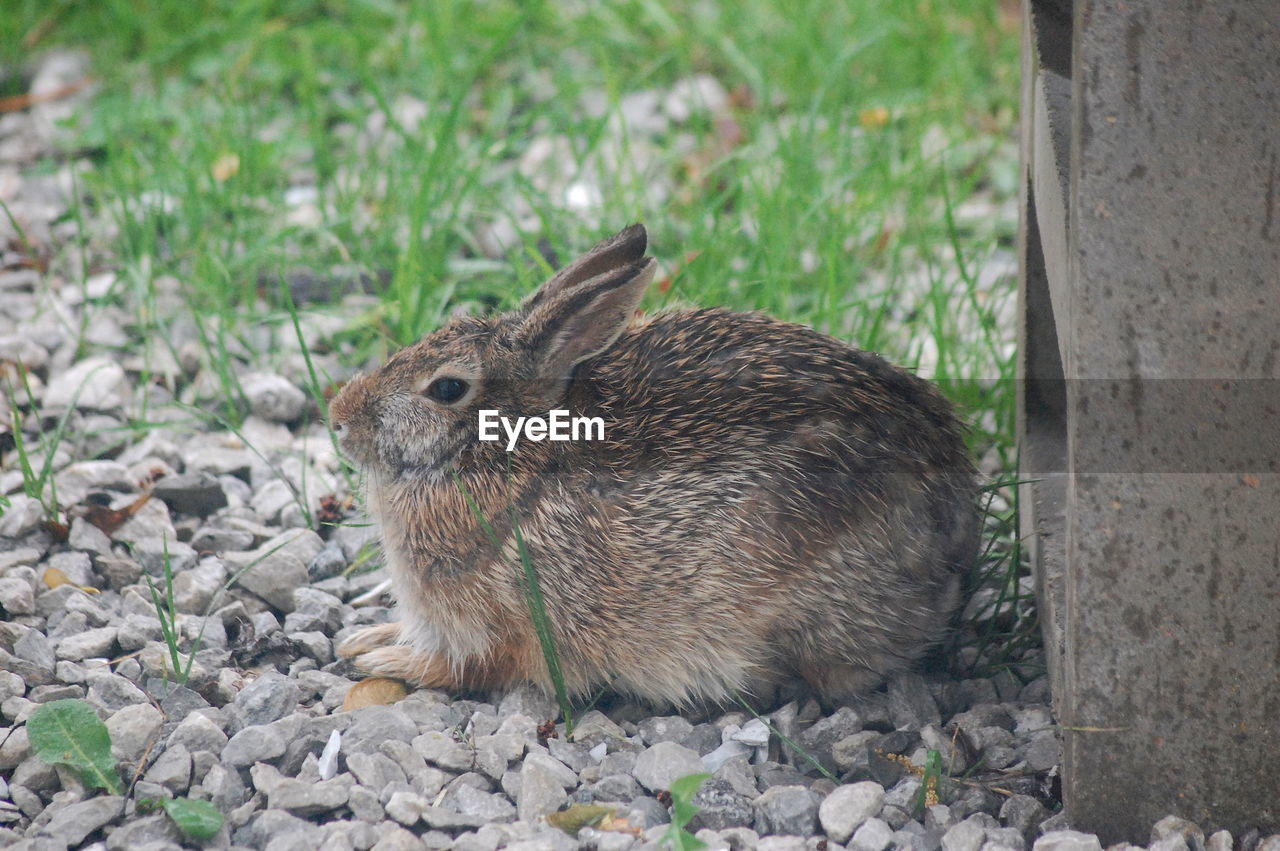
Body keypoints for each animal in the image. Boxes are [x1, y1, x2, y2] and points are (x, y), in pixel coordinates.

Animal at [332, 222, 977, 706]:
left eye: (447, 389)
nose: (338, 417)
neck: (510, 452)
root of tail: (953, 551)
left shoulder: (507, 628)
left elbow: (468, 669)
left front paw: (384, 659)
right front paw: (364, 638)